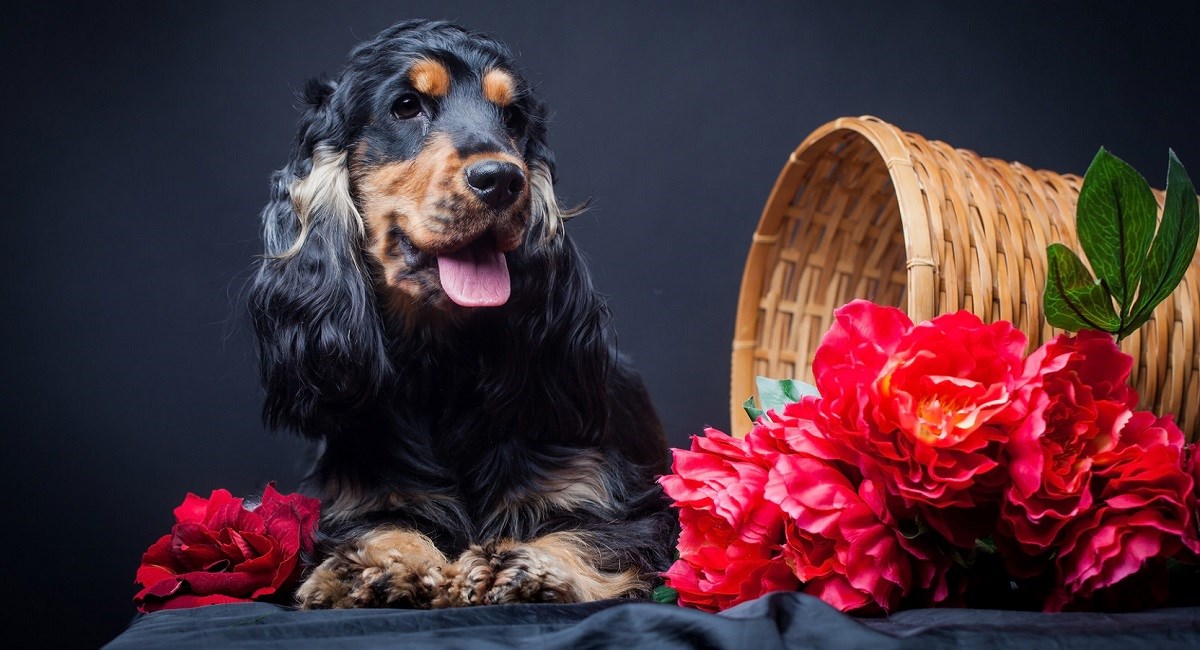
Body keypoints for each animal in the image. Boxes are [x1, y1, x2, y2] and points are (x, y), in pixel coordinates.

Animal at [246, 20, 676, 611]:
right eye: (406, 106)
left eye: (512, 118)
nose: (503, 179)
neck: (443, 370)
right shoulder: (364, 497)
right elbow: (382, 527)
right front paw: (374, 568)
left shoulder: (621, 500)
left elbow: (588, 535)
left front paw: (528, 567)